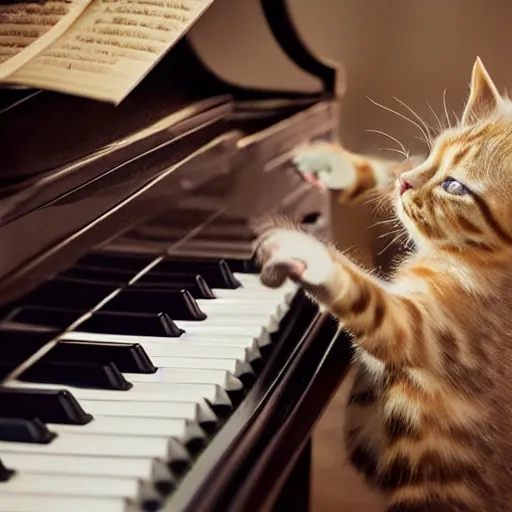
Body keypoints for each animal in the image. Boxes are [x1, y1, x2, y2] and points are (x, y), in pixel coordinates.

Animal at [256, 58, 512, 510]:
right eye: (431, 154)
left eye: (454, 186)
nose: (408, 182)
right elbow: (394, 168)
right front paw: (339, 165)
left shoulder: (425, 332)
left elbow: (369, 301)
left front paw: (307, 250)